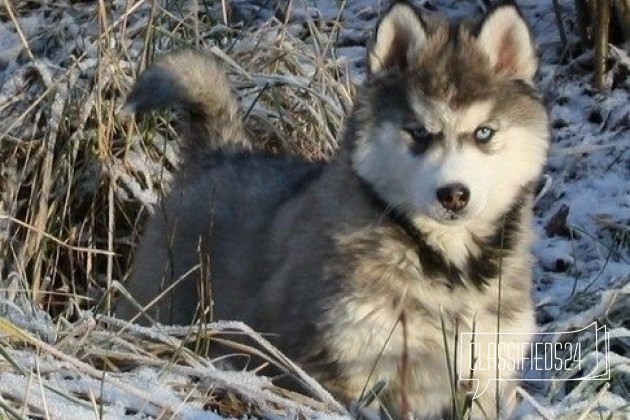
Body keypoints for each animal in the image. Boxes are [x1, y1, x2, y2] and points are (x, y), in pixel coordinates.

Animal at [117, 2, 548, 416]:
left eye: (484, 133)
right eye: (419, 133)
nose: (453, 194)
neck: (445, 267)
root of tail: (219, 153)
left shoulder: (484, 374)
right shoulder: (337, 369)